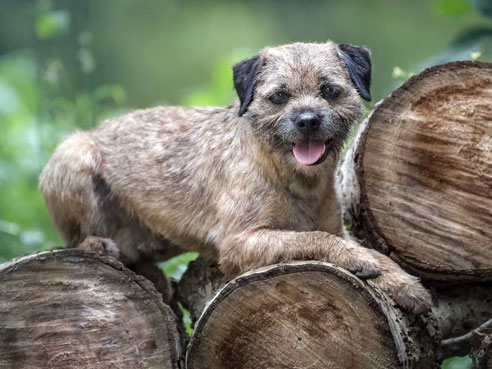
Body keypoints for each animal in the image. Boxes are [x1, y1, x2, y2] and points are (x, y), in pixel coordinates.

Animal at [39, 39, 430, 310]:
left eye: (330, 91)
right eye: (279, 97)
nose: (307, 120)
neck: (295, 179)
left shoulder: (337, 228)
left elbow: (367, 250)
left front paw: (404, 283)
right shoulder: (242, 242)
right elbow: (314, 239)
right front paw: (360, 261)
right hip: (74, 156)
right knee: (76, 239)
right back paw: (100, 245)